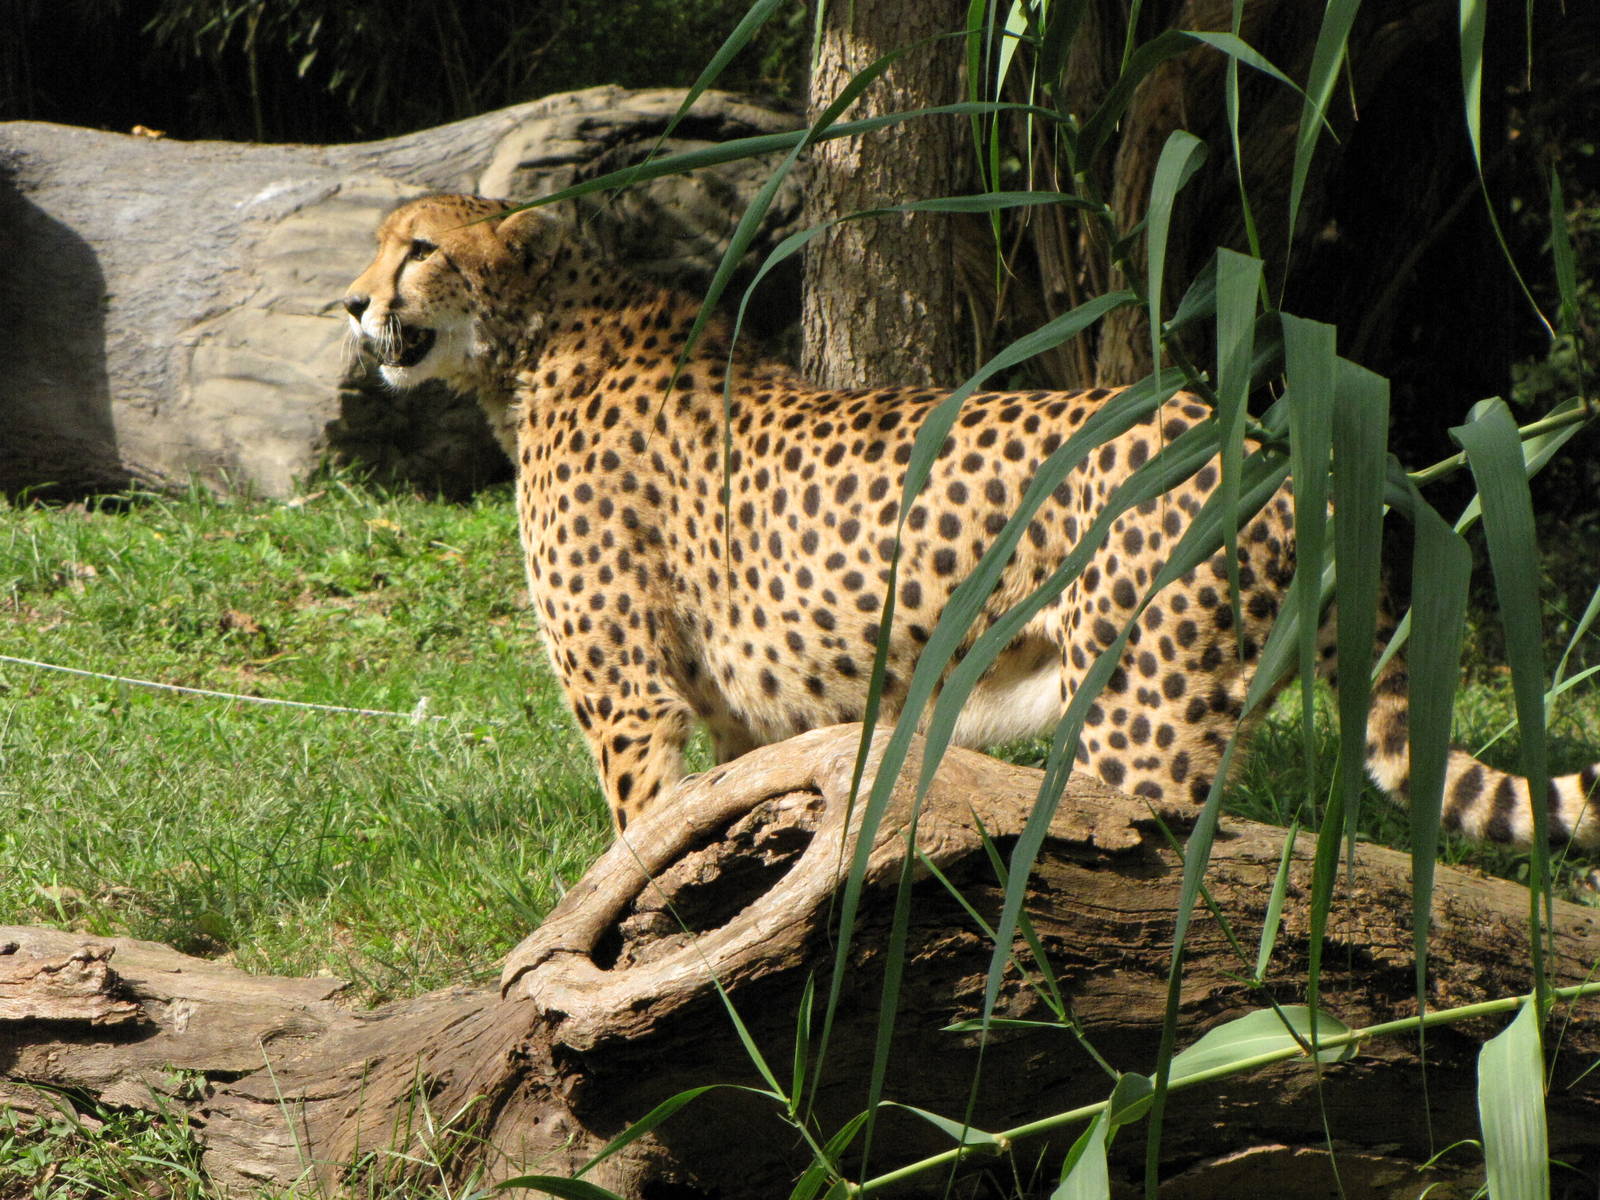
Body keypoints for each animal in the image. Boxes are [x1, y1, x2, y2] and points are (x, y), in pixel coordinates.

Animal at [343, 192, 1600, 848]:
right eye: (378, 243)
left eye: (421, 249)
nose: (350, 304)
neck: (536, 342)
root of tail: (1256, 435)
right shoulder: (738, 720)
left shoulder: (629, 695)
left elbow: (636, 834)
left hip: (1138, 725)